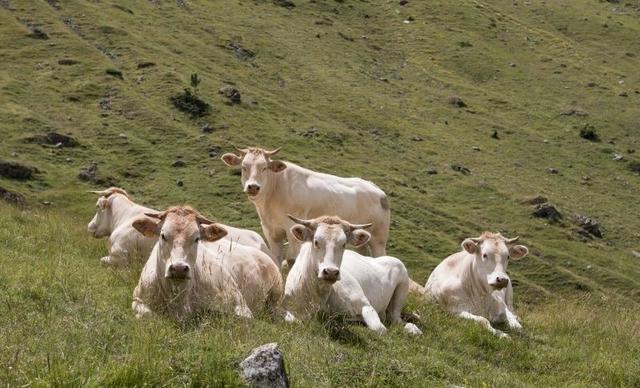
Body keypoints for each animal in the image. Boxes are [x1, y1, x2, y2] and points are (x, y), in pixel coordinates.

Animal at [87, 188, 272, 266]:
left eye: (96, 206)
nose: (90, 226)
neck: (124, 218)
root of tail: (262, 243)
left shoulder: (119, 256)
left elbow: (102, 261)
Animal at [131, 206, 282, 322]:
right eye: (163, 235)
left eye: (197, 238)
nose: (179, 268)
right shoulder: (137, 300)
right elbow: (147, 314)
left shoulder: (242, 307)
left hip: (276, 293)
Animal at [219, 146, 390, 266]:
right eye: (244, 167)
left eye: (264, 167)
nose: (253, 187)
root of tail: (377, 190)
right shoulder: (271, 231)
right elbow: (275, 259)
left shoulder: (292, 229)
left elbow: (291, 260)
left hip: (379, 238)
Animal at [282, 214, 422, 334]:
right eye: (316, 241)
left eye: (344, 244)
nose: (331, 272)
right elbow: (293, 320)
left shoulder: (364, 303)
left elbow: (380, 329)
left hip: (402, 286)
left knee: (396, 319)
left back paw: (413, 329)